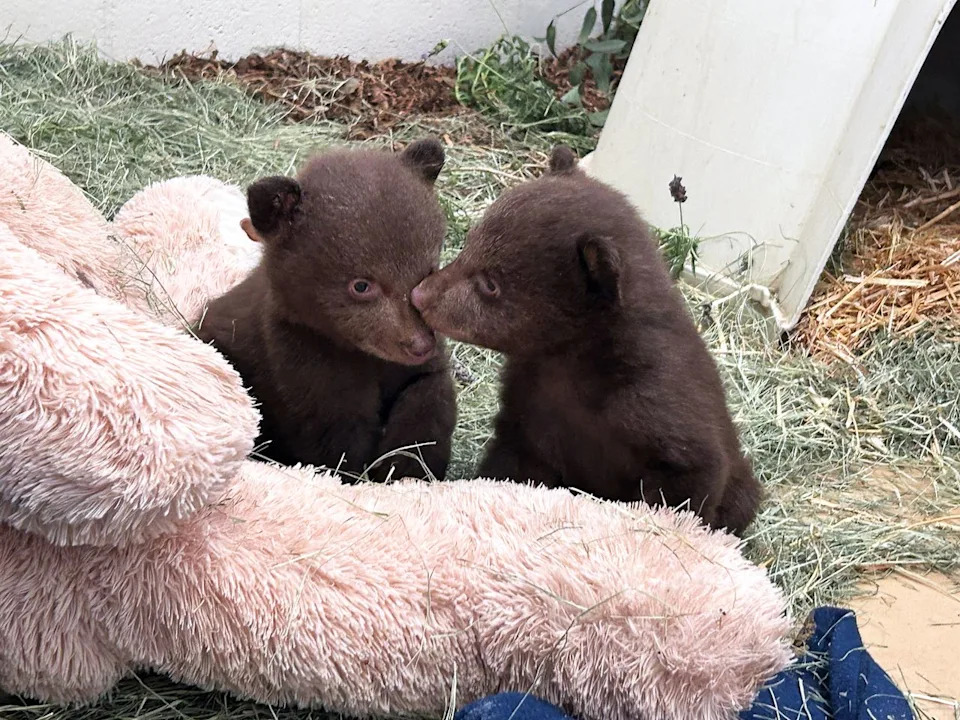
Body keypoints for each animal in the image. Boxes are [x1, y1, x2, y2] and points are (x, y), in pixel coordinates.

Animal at [195, 139, 456, 482]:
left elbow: (428, 394)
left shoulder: (413, 368)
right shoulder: (304, 363)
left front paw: (407, 465)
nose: (419, 344)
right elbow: (335, 441)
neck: (360, 354)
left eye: (427, 271)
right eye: (361, 285)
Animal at [410, 145, 761, 535]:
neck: (573, 360)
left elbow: (689, 478)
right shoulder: (530, 407)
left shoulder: (659, 403)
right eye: (469, 244)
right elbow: (514, 461)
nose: (420, 295)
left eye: (490, 284)